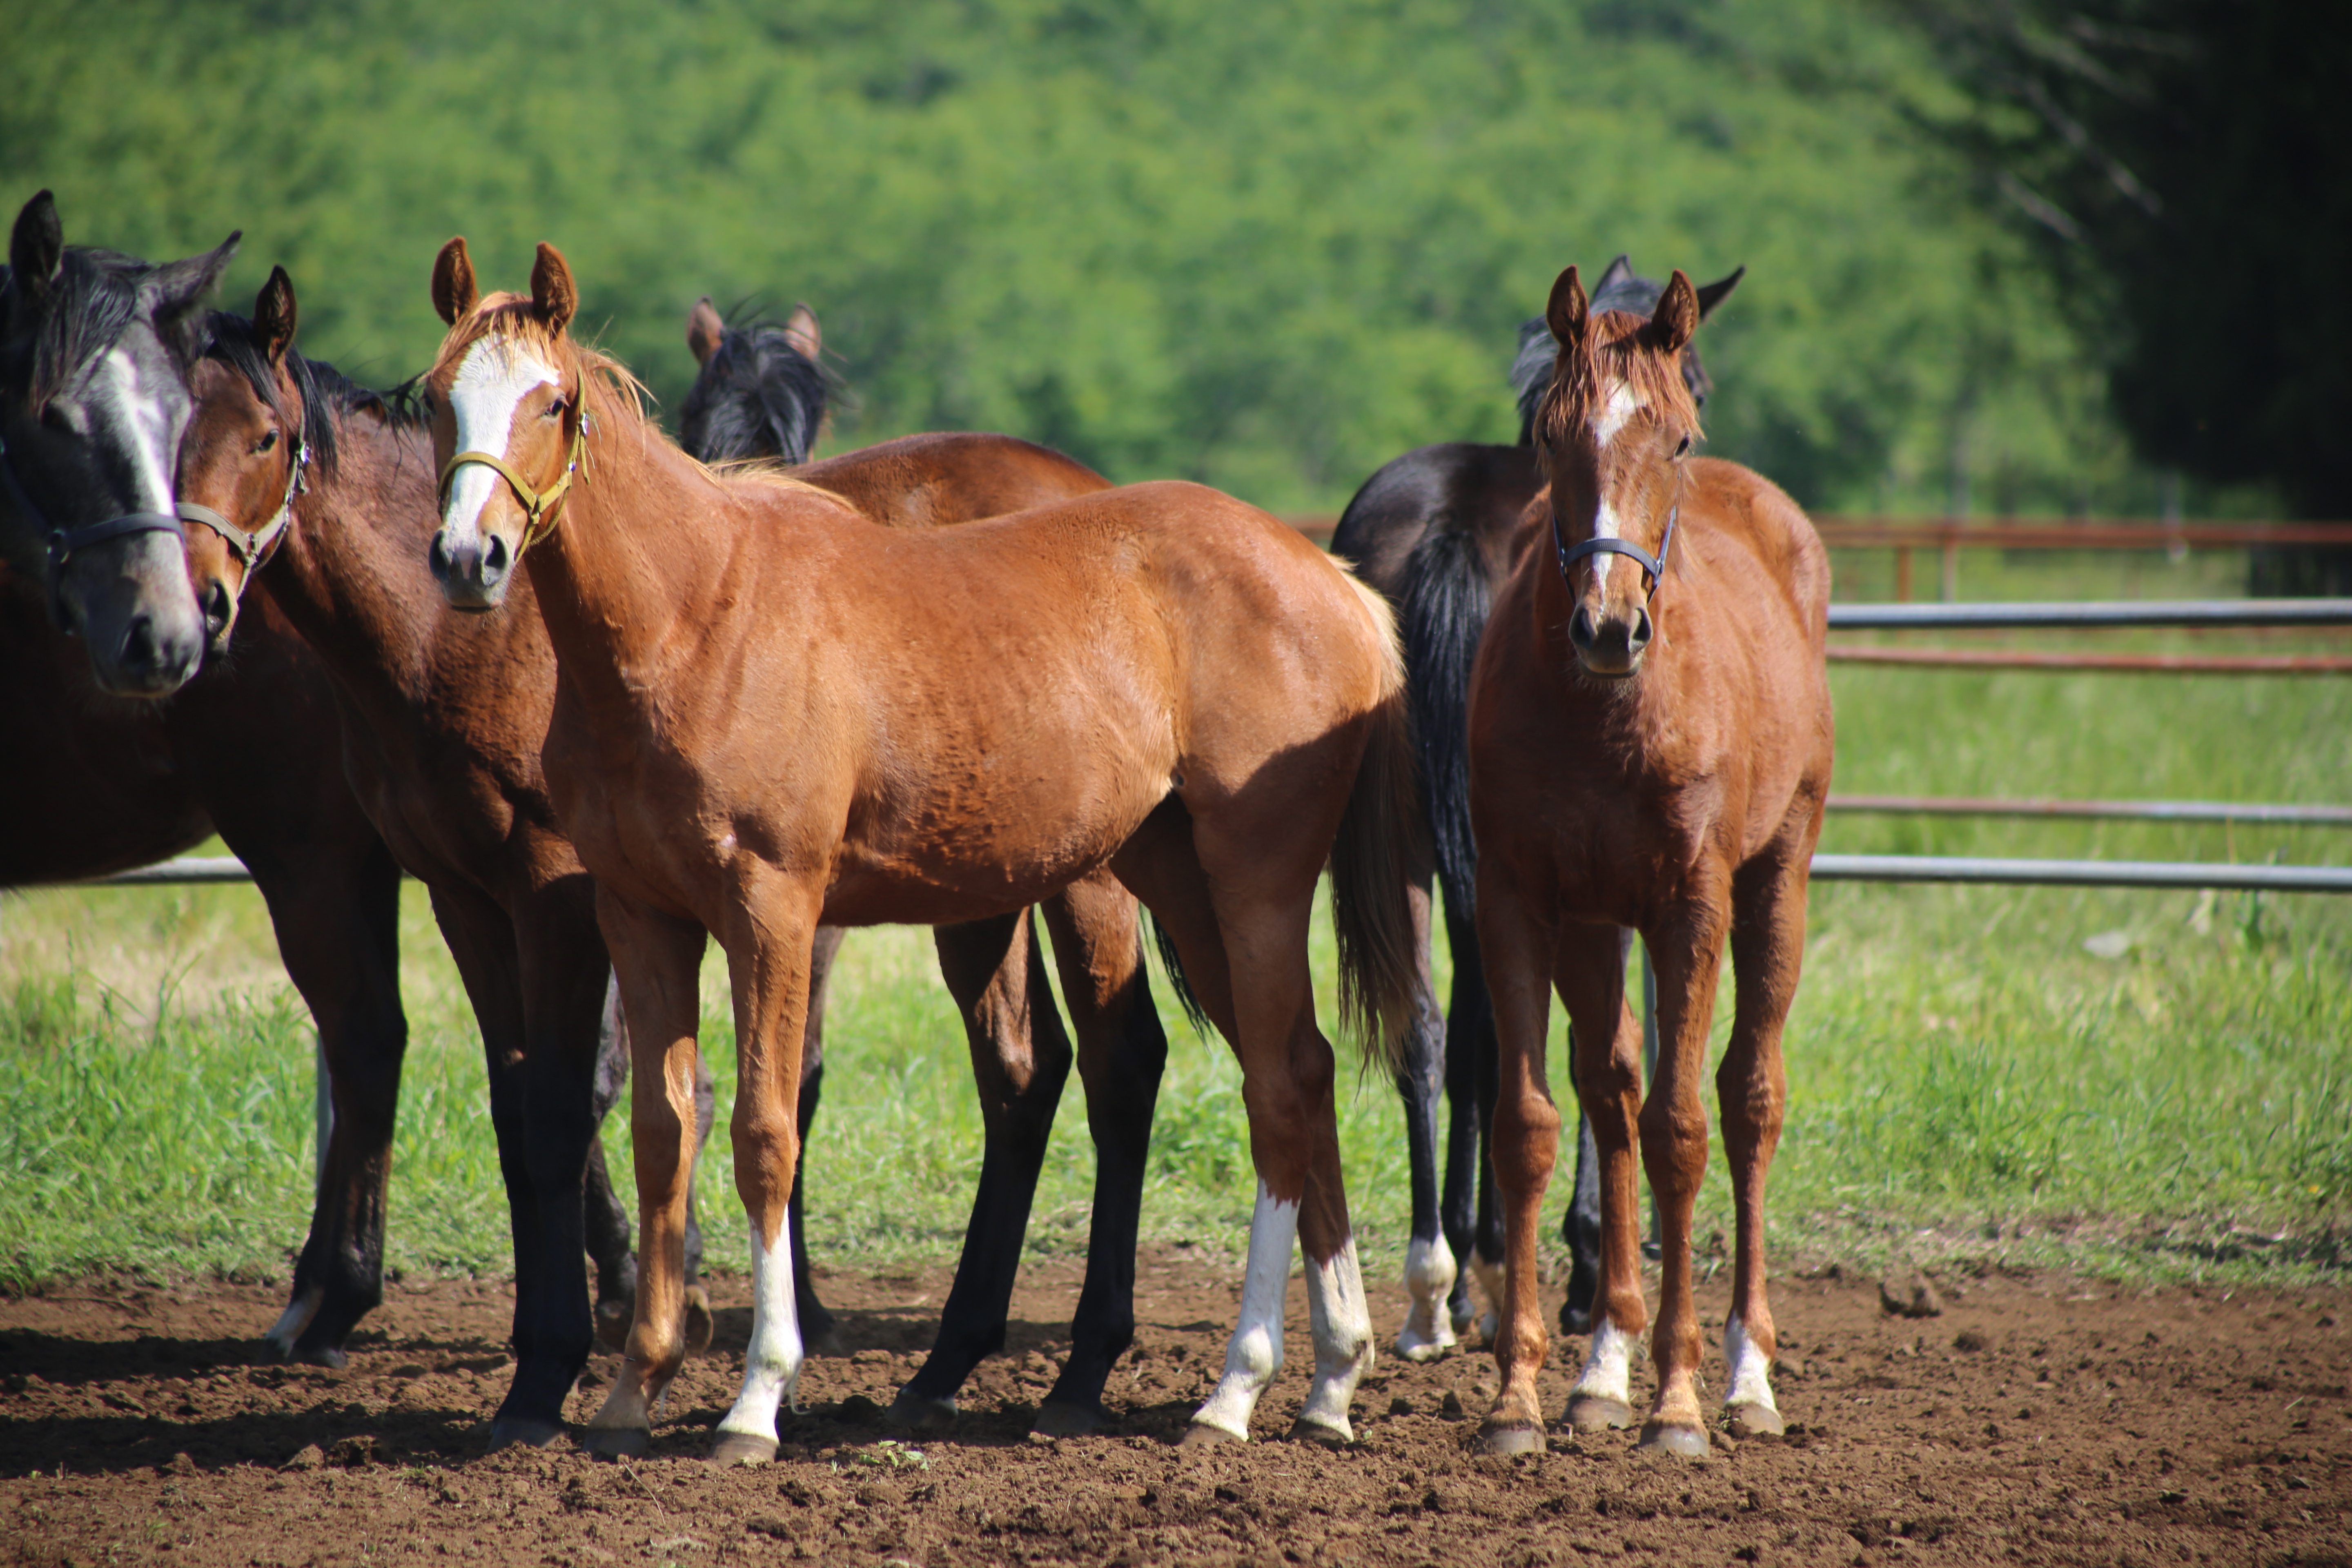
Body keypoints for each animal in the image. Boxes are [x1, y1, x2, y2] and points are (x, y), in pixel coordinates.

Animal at [419, 240, 1411, 1467]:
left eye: (552, 402)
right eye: (435, 399)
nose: (469, 557)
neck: (695, 616)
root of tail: (1331, 581)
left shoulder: (773, 911)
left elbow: (763, 1130)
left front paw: (757, 1397)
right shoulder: (641, 917)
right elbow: (663, 1131)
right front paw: (632, 1388)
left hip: (1251, 887)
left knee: (1270, 1088)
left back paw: (1233, 1387)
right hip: (1178, 881)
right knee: (1302, 1072)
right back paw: (1330, 1377)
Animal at [1326, 257, 1750, 1354]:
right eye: (1697, 379)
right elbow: (1603, 1042)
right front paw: (1590, 1256)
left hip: (1403, 838)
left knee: (1427, 1028)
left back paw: (1434, 1285)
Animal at [1458, 267, 1825, 1457]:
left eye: (1674, 438)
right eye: (1549, 434)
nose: (1608, 627)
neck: (1602, 714)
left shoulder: (1688, 907)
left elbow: (1680, 1128)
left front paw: (1677, 1401)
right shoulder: (1521, 900)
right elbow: (1533, 1125)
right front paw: (1519, 1396)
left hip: (1775, 884)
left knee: (1749, 1097)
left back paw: (1746, 1376)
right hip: (1591, 921)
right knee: (1608, 1087)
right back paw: (1600, 1369)